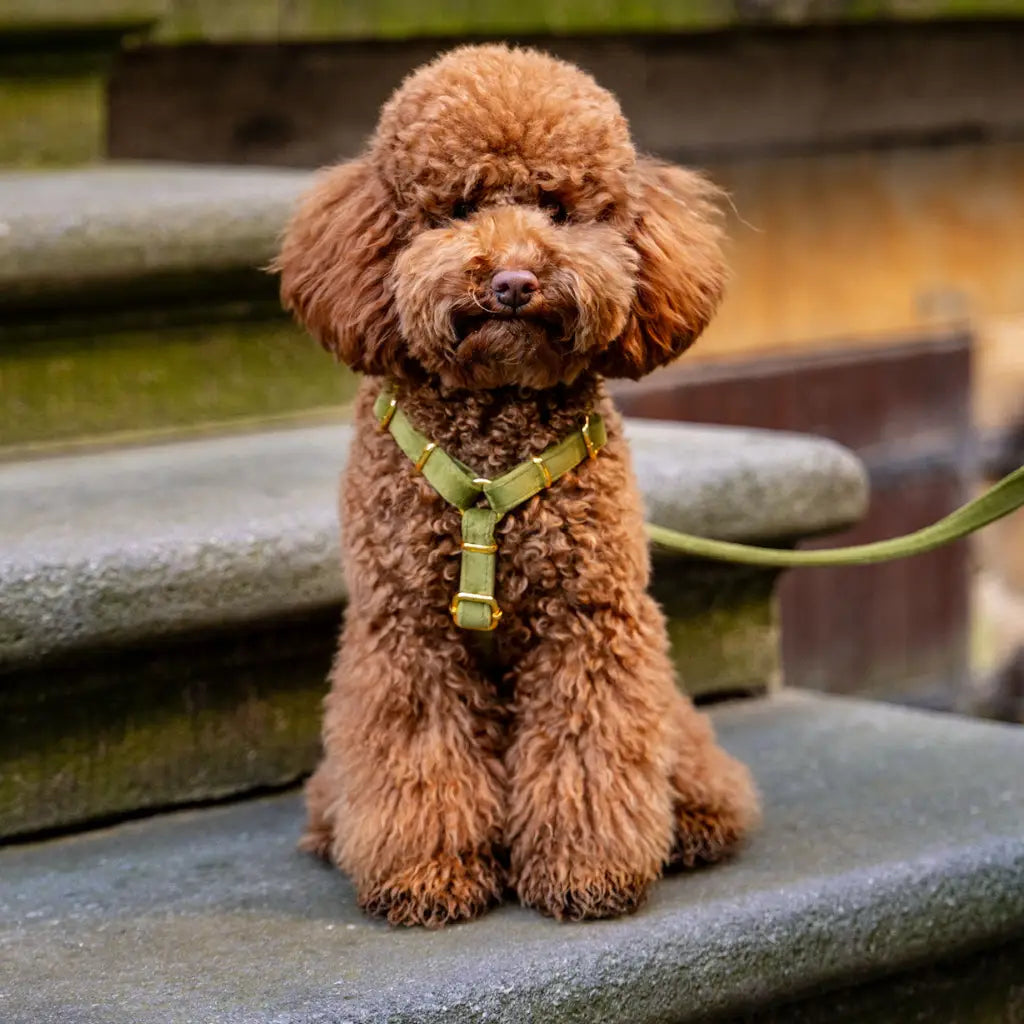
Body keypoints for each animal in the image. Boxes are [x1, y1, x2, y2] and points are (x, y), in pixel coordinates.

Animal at [276, 41, 757, 929]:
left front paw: (586, 871)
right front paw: (428, 873)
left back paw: (701, 818)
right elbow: (420, 760)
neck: (491, 446)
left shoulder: (589, 622)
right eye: (458, 209)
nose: (513, 282)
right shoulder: (407, 634)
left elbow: (588, 756)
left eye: (557, 208)